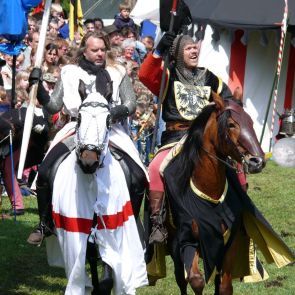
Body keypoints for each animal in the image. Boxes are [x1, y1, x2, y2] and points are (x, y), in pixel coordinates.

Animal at [162, 94, 295, 295]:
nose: (258, 161)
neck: (210, 193)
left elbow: (224, 285)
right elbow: (196, 280)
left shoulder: (229, 243)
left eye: (251, 122)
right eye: (231, 124)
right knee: (181, 279)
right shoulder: (188, 241)